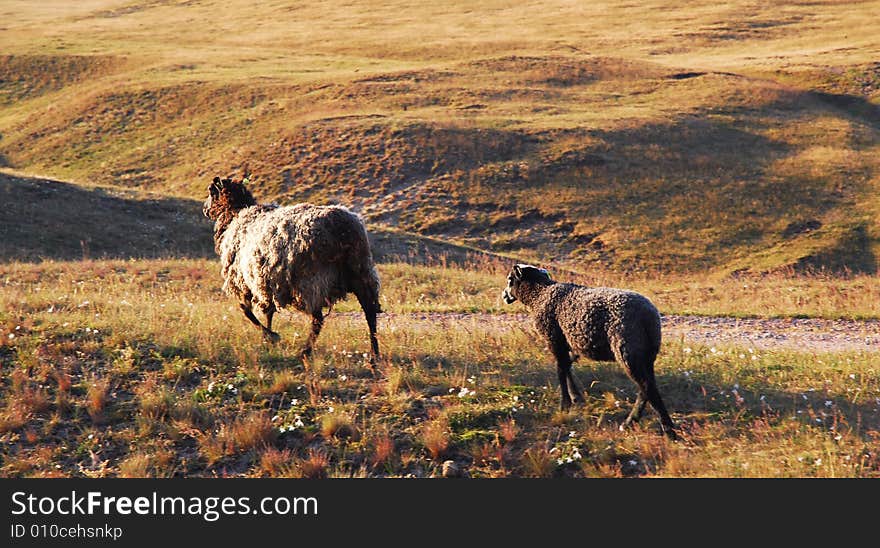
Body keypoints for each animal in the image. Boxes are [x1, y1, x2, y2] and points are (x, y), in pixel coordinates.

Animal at [203, 176, 382, 364]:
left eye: (211, 191)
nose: (205, 210)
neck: (235, 214)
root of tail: (343, 229)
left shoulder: (243, 281)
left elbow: (245, 310)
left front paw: (271, 336)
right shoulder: (265, 282)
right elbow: (268, 312)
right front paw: (268, 340)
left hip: (311, 282)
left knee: (318, 319)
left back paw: (305, 352)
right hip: (361, 272)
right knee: (370, 313)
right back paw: (374, 355)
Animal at [498, 264, 676, 438]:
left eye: (510, 279)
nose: (504, 295)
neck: (540, 294)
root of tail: (649, 316)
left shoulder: (554, 339)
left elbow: (560, 370)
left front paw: (564, 405)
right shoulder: (570, 343)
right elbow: (567, 367)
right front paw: (575, 397)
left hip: (627, 349)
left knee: (646, 386)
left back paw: (665, 428)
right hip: (647, 353)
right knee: (647, 387)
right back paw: (634, 422)